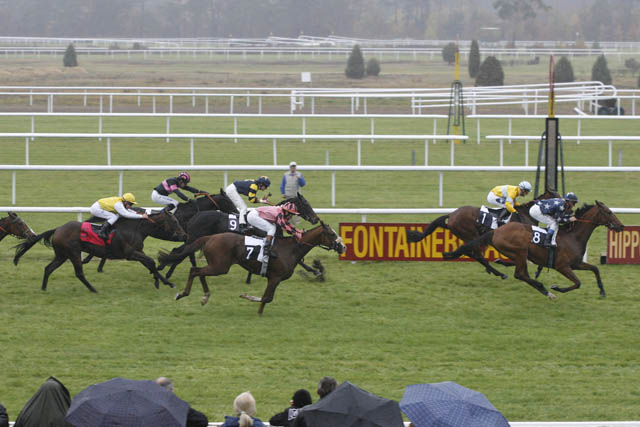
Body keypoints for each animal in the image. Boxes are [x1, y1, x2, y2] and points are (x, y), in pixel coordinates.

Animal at [13, 209, 187, 292]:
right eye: (174, 221)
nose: (184, 234)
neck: (134, 229)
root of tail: (57, 229)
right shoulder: (130, 254)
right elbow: (150, 261)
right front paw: (166, 282)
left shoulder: (137, 253)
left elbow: (149, 264)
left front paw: (161, 281)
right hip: (73, 253)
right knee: (79, 273)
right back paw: (93, 289)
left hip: (62, 255)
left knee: (48, 268)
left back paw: (44, 288)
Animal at [157, 221, 346, 315]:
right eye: (331, 234)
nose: (343, 247)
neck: (290, 249)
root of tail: (210, 237)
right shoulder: (275, 277)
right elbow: (266, 298)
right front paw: (250, 301)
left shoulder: (274, 279)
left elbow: (268, 298)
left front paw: (257, 309)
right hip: (220, 266)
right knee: (195, 271)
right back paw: (183, 294)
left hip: (217, 265)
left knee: (200, 273)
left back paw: (205, 297)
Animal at [443, 201, 624, 299]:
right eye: (609, 212)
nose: (621, 226)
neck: (573, 236)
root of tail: (496, 230)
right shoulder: (562, 266)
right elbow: (578, 283)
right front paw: (556, 288)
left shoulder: (576, 263)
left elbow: (595, 269)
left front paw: (602, 291)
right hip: (520, 251)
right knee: (520, 274)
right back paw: (545, 290)